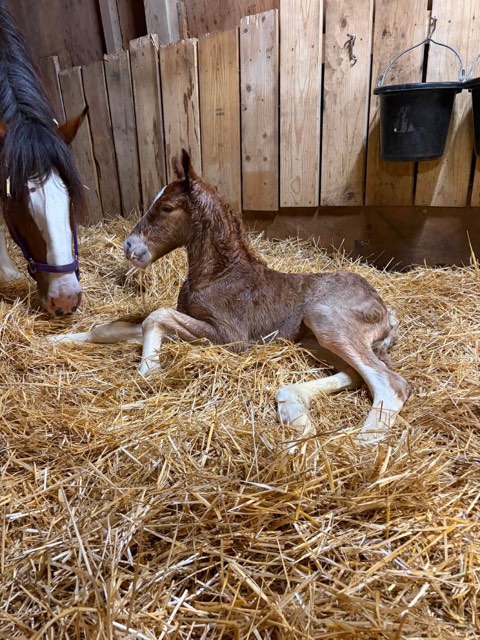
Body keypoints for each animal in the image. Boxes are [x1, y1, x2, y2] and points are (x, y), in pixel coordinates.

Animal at [51, 150, 410, 444]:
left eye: (167, 207)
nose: (130, 248)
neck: (218, 274)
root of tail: (387, 312)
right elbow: (112, 329)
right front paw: (56, 340)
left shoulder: (231, 337)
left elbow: (157, 316)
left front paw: (146, 372)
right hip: (313, 341)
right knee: (356, 374)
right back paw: (294, 411)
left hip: (325, 319)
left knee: (390, 383)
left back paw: (359, 443)